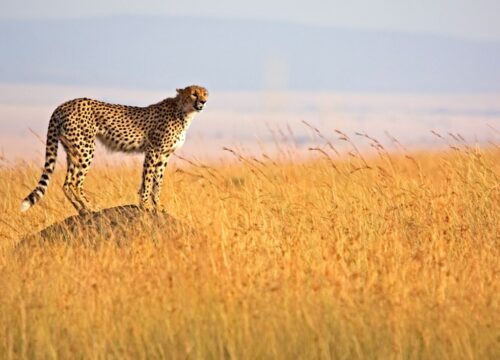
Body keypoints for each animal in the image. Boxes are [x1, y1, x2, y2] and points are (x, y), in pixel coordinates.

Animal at [21, 84, 209, 214]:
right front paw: (145, 205)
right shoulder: (153, 150)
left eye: (205, 93)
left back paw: (81, 210)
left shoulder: (164, 155)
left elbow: (157, 183)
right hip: (86, 148)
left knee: (66, 183)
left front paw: (159, 206)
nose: (203, 102)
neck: (183, 112)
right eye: (194, 93)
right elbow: (148, 181)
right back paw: (91, 207)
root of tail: (64, 104)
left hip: (73, 149)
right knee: (75, 182)